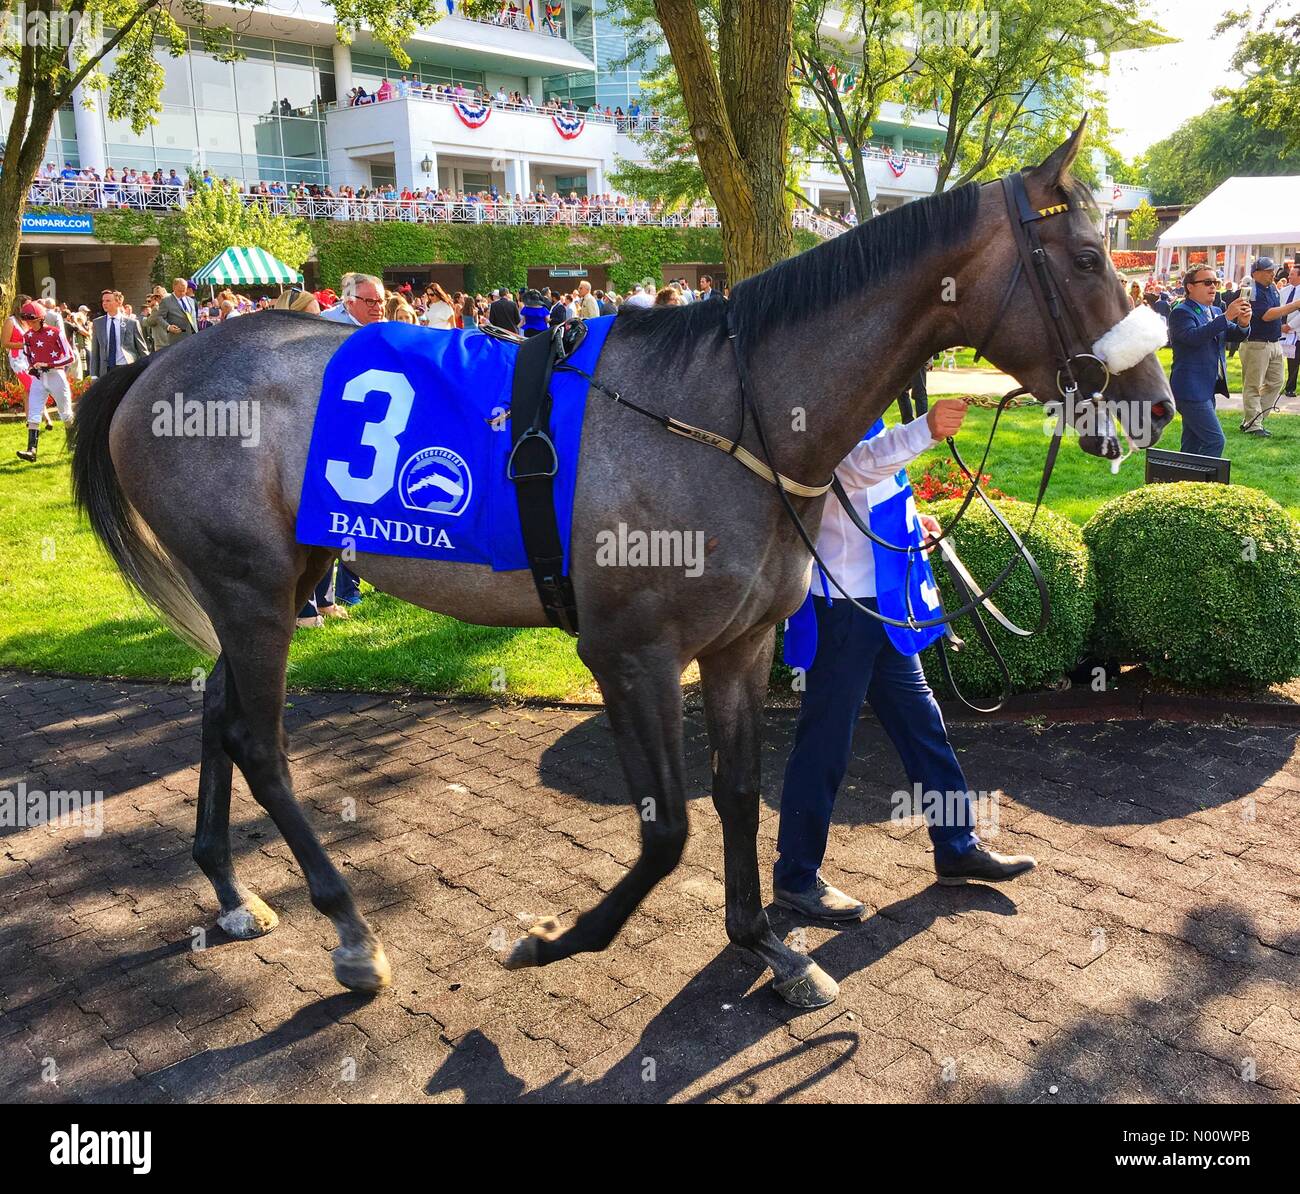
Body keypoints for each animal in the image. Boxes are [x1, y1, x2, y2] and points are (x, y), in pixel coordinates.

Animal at [71, 122, 1174, 1009]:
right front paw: (556, 939)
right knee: (258, 742)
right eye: (1087, 256)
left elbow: (737, 794)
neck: (729, 413)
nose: (1156, 405)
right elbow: (667, 829)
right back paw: (349, 930)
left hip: (281, 580)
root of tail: (152, 365)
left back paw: (230, 891)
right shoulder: (628, 652)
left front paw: (769, 945)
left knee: (218, 714)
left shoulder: (740, 645)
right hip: (253, 589)